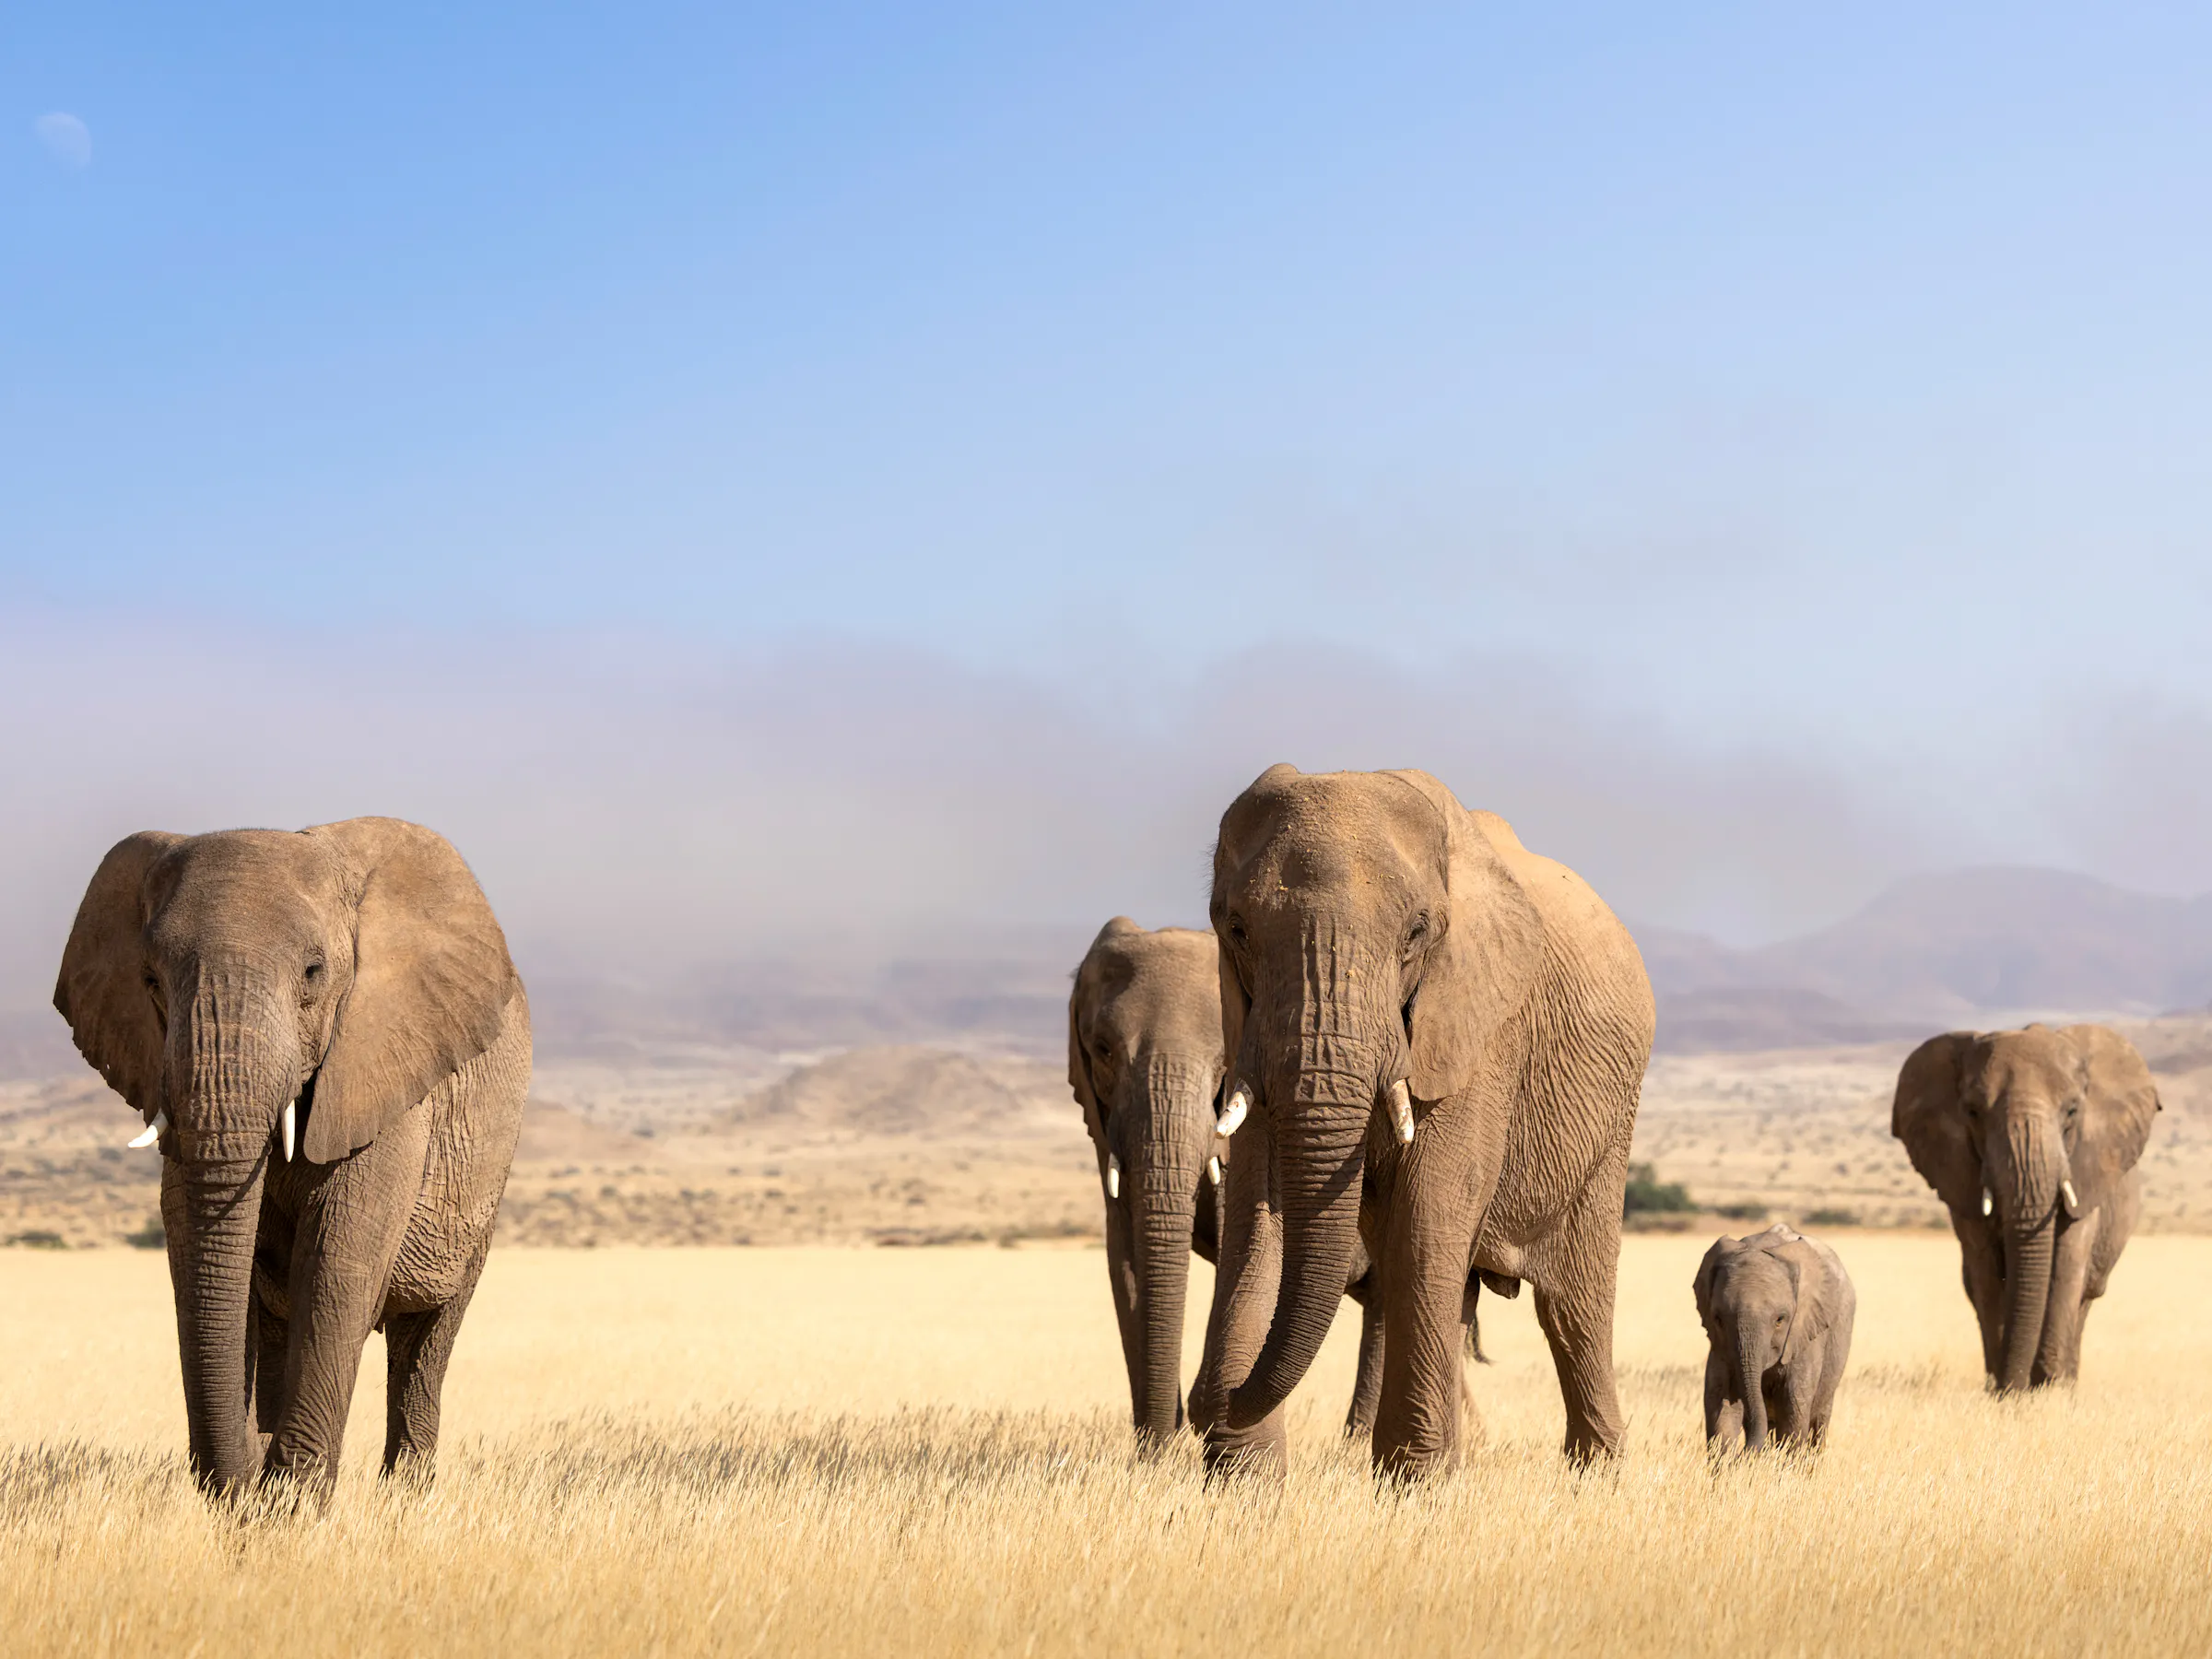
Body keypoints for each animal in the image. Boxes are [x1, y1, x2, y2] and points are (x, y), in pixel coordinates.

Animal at [53, 818, 529, 1496]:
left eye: (312, 972)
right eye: (150, 982)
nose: (240, 1484)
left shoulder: (383, 1067)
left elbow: (336, 1259)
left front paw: (290, 1502)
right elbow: (191, 1241)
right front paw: (267, 1491)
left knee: (425, 1335)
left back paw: (404, 1497)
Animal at [1069, 917, 1389, 1447]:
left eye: (1224, 1060)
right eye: (1103, 1051)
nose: (1169, 1437)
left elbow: (1230, 1248)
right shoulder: (1104, 1124)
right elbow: (1124, 1257)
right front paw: (1153, 1454)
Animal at [1189, 765, 1654, 1480]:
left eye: (1416, 934)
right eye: (1236, 928)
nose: (1203, 1402)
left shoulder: (1481, 1030)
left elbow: (1429, 1212)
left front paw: (1414, 1481)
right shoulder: (1248, 1026)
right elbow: (1255, 1209)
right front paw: (1244, 1475)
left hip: (1609, 1126)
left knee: (1572, 1306)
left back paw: (1596, 1473)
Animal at [1693, 1222, 1855, 1452]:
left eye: (1780, 1320)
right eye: (1718, 1319)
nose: (1744, 1452)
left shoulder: (1805, 1332)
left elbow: (1793, 1405)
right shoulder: (1721, 1346)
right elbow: (1720, 1403)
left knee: (1818, 1421)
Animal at [1892, 1023, 2158, 1392]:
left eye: (2072, 1111)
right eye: (1973, 1112)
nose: (2013, 1386)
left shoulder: (2085, 1171)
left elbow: (2067, 1262)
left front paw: (2048, 1391)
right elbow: (1986, 1271)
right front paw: (2003, 1390)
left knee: (2086, 1294)